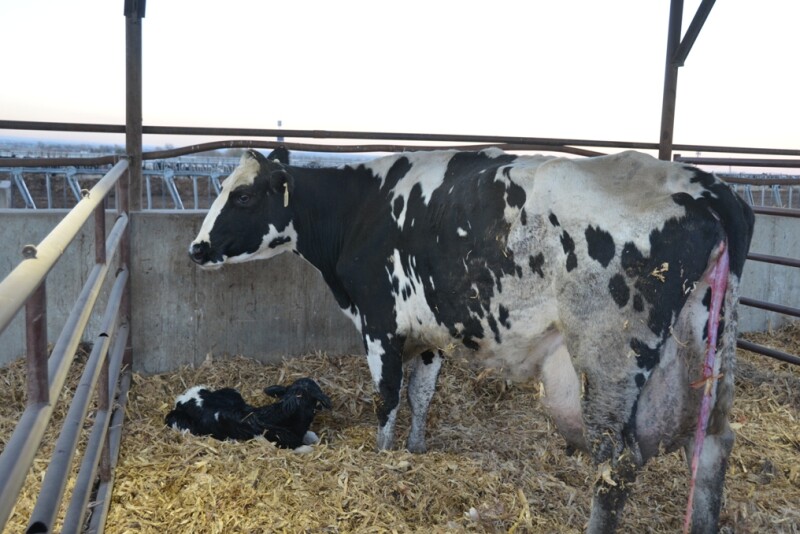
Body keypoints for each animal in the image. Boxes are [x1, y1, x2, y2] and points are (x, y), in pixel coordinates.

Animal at [188, 148, 753, 533]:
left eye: (242, 195)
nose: (196, 248)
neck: (361, 211)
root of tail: (707, 188)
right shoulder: (428, 329)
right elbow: (421, 394)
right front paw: (415, 450)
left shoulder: (379, 321)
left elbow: (386, 399)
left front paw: (381, 455)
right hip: (711, 353)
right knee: (711, 447)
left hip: (610, 358)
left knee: (615, 463)